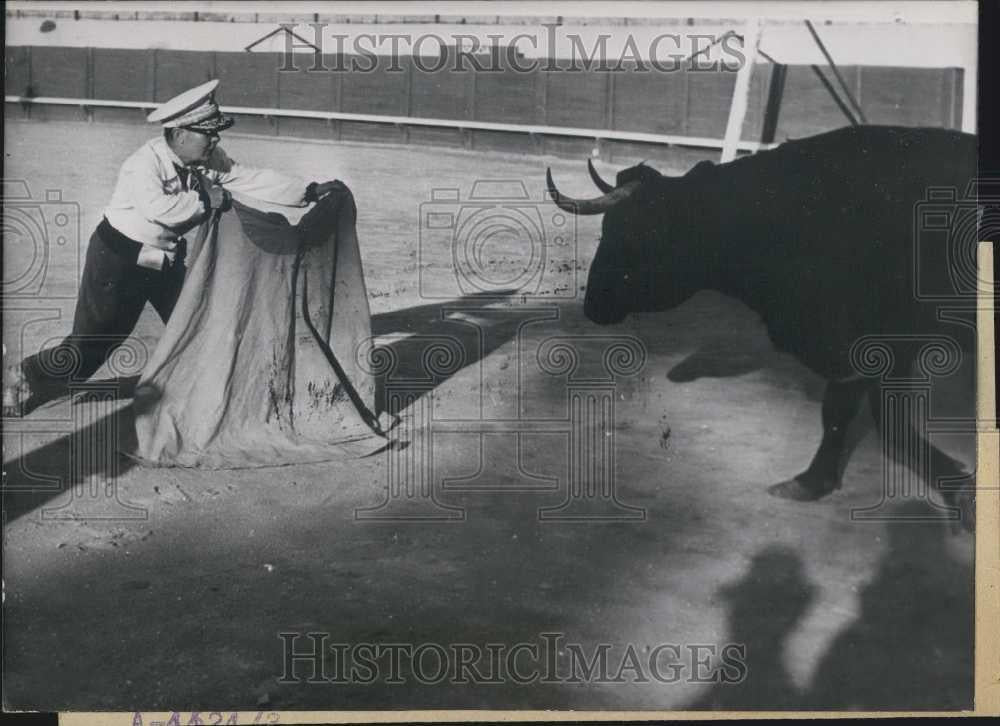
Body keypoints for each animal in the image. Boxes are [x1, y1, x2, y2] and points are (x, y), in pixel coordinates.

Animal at [548, 125, 976, 528]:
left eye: (637, 234)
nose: (592, 306)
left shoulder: (859, 343)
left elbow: (856, 415)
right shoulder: (886, 348)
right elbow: (881, 420)